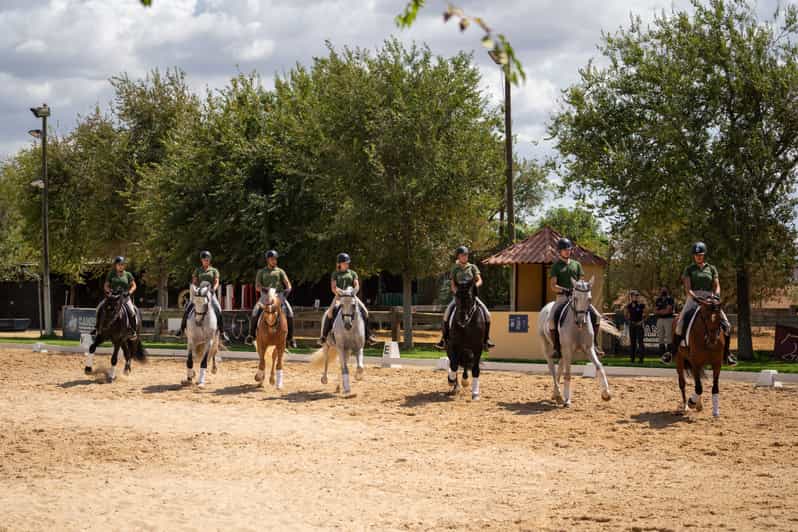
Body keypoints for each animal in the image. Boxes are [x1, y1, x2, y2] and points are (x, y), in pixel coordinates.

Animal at [537, 278, 616, 406]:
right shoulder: (568, 349)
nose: (580, 321)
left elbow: (599, 366)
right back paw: (558, 394)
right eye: (575, 298)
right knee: (552, 368)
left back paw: (556, 395)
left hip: (562, 351)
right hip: (547, 346)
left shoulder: (588, 348)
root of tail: (547, 306)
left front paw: (606, 394)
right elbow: (568, 373)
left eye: (589, 299)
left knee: (560, 367)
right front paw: (567, 400)